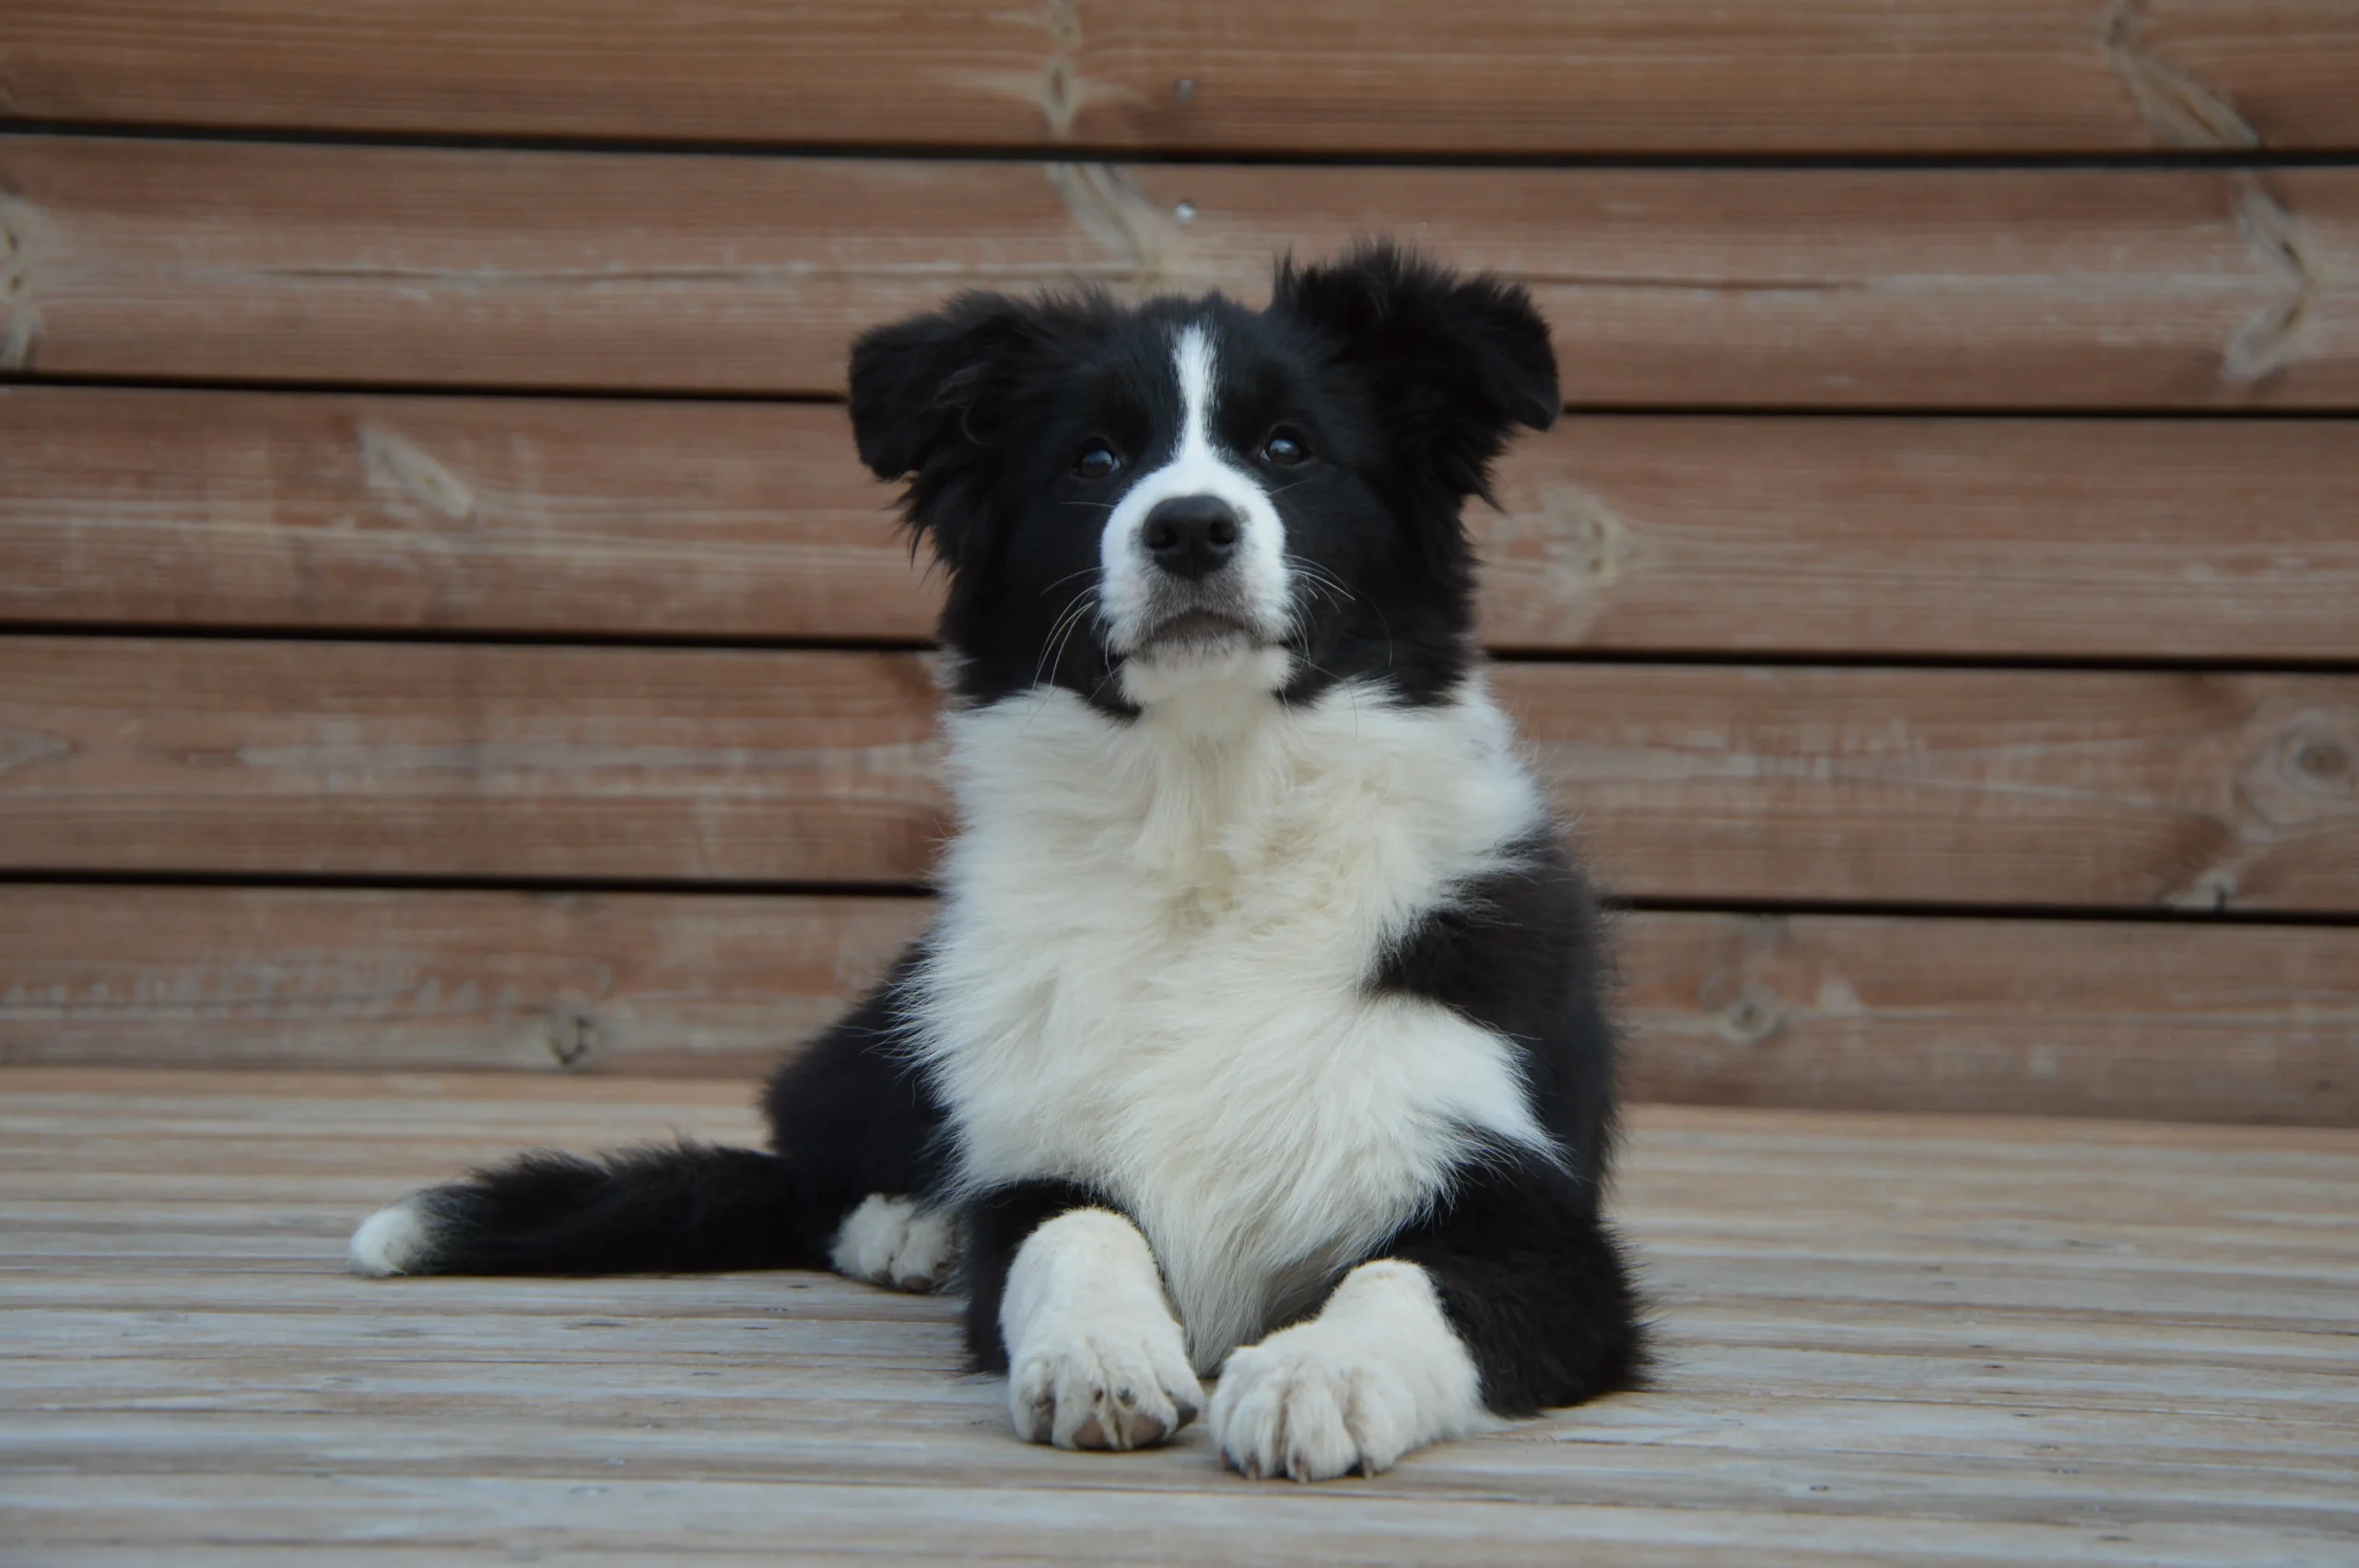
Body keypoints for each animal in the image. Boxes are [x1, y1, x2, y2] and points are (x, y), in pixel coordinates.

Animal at [348, 245, 1641, 1480]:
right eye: (1094, 458)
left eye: (1288, 446)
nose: (1188, 528)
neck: (1209, 819)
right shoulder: (1042, 1139)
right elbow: (1064, 1233)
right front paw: (1097, 1351)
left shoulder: (1533, 1217)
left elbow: (1405, 1282)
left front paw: (1315, 1375)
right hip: (907, 1020)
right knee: (808, 1155)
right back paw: (908, 1229)